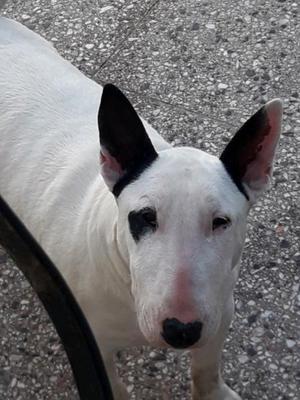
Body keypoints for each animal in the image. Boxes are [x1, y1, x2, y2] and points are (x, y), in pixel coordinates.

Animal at [0, 16, 282, 400]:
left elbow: (207, 368)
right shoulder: (91, 345)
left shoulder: (220, 311)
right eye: (145, 217)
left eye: (221, 221)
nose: (181, 330)